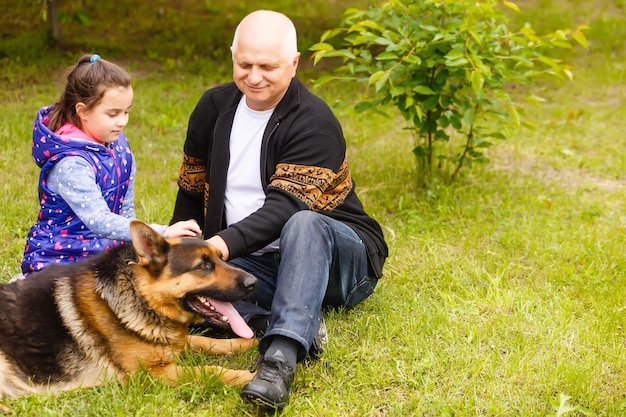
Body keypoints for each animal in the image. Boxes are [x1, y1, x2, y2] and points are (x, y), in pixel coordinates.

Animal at [0, 219, 256, 398]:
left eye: (221, 257)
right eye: (203, 265)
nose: (253, 283)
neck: (141, 296)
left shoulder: (171, 344)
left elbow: (205, 341)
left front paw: (245, 343)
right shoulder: (150, 374)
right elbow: (210, 370)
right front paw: (249, 376)